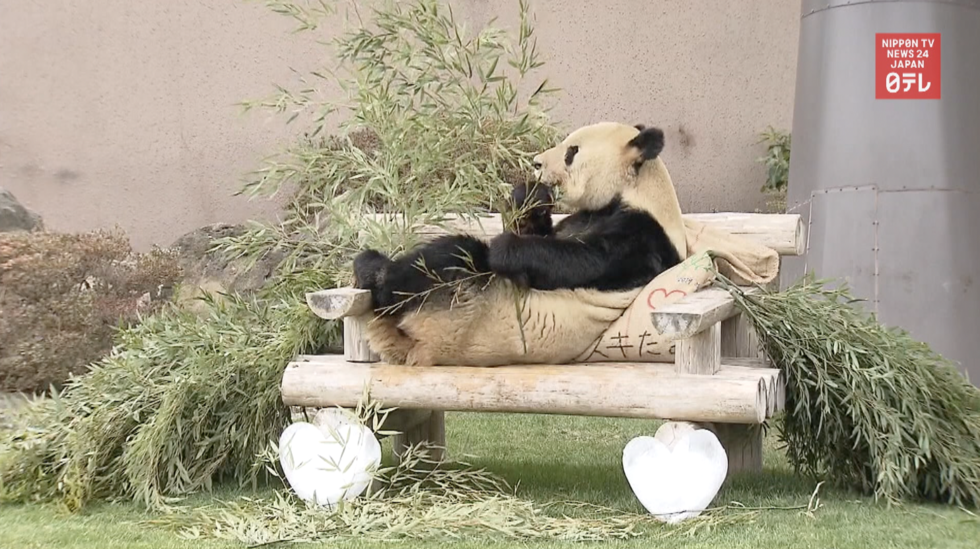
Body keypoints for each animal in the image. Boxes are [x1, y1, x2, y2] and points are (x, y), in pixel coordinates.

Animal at [352, 121, 688, 366]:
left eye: (572, 152)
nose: (536, 163)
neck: (637, 191)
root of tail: (417, 346)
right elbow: (543, 233)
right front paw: (530, 196)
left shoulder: (641, 237)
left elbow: (580, 262)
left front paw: (504, 247)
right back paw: (369, 265)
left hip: (464, 315)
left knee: (455, 256)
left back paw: (380, 275)